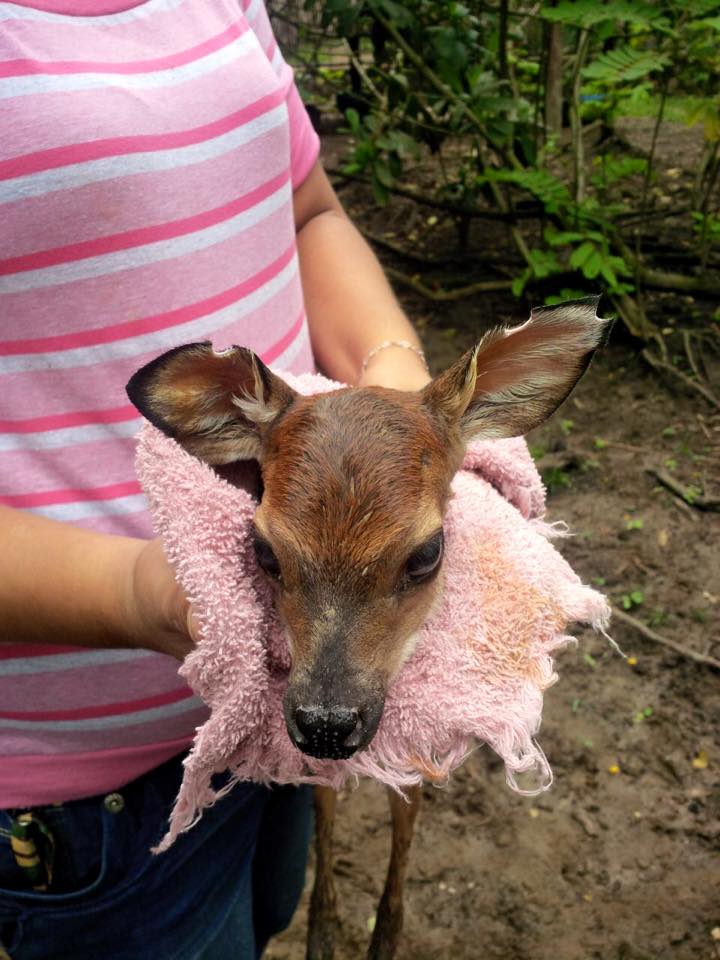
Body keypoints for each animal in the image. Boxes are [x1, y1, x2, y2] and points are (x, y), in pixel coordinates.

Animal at [126, 297, 608, 960]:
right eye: (264, 551)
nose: (327, 724)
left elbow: (407, 813)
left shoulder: (423, 738)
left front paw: (385, 938)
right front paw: (323, 935)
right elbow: (325, 804)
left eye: (427, 553)